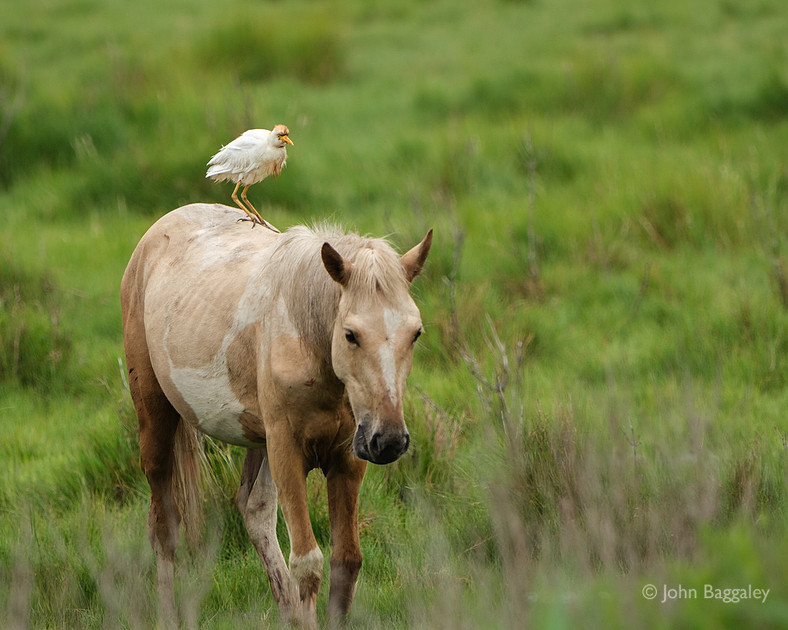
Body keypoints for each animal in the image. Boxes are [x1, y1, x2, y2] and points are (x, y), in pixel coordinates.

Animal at [120, 203, 432, 627]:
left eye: (415, 333)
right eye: (350, 334)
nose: (389, 441)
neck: (308, 339)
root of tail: (158, 231)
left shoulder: (347, 459)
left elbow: (346, 562)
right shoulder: (288, 453)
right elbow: (308, 564)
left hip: (260, 441)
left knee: (254, 511)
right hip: (156, 422)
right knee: (164, 529)